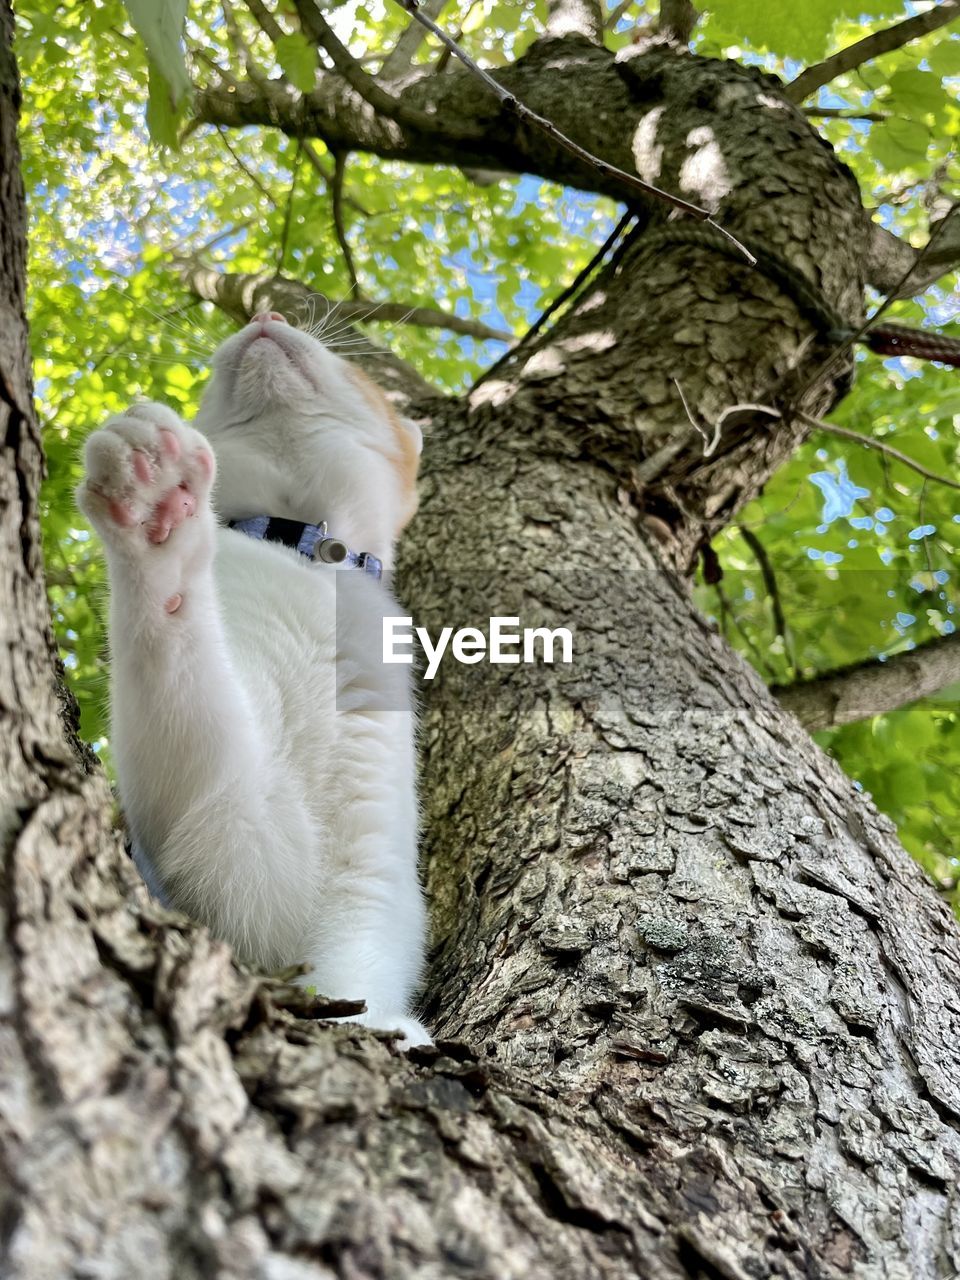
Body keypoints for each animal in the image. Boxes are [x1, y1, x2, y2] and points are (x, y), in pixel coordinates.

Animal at [77, 312, 430, 1049]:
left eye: (359, 371)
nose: (268, 314)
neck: (309, 555)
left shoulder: (368, 859)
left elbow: (359, 950)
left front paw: (380, 1028)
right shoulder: (230, 825)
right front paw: (158, 512)